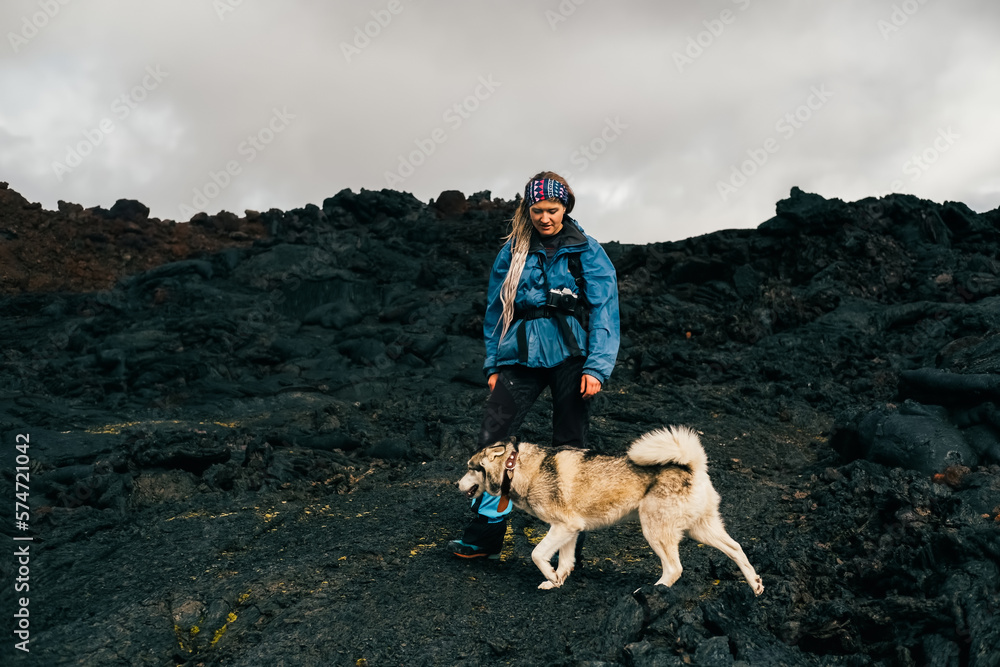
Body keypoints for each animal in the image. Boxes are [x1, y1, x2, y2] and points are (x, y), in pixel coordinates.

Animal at [458, 426, 760, 592]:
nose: (457, 484)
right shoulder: (570, 530)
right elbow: (565, 561)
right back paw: (755, 584)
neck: (516, 468)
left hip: (655, 532)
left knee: (674, 569)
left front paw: (551, 576)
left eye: (470, 468)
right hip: (701, 530)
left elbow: (537, 554)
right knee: (735, 548)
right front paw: (556, 581)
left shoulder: (563, 527)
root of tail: (691, 465)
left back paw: (654, 591)